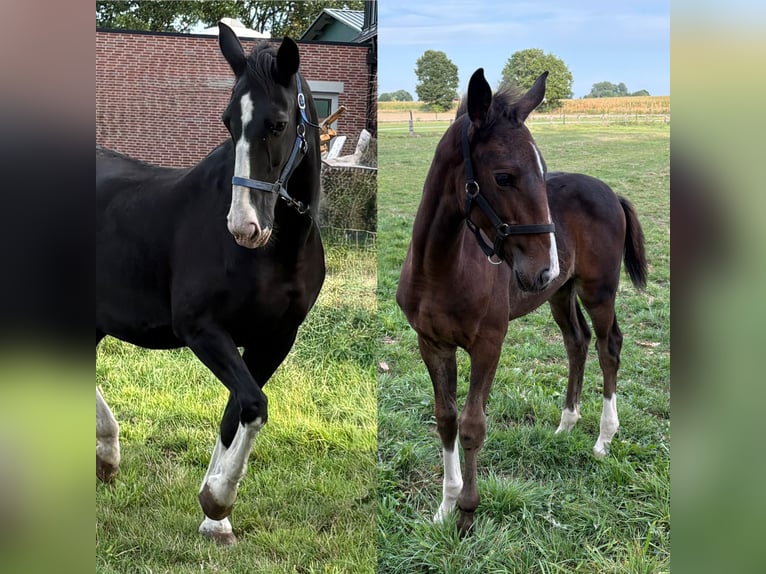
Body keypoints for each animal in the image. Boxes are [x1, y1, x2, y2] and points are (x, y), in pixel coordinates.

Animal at [96, 23, 325, 545]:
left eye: (278, 123)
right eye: (228, 123)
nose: (244, 227)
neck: (276, 252)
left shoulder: (275, 339)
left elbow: (236, 410)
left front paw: (214, 518)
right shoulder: (201, 330)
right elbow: (253, 403)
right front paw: (217, 499)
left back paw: (105, 455)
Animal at [396, 68, 647, 534]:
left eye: (542, 170)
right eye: (504, 177)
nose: (544, 268)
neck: (441, 267)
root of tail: (610, 192)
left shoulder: (488, 343)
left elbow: (473, 424)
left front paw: (468, 511)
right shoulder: (431, 343)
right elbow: (446, 418)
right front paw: (445, 506)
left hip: (597, 290)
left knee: (609, 347)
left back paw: (604, 438)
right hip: (561, 293)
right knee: (577, 342)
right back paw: (566, 424)